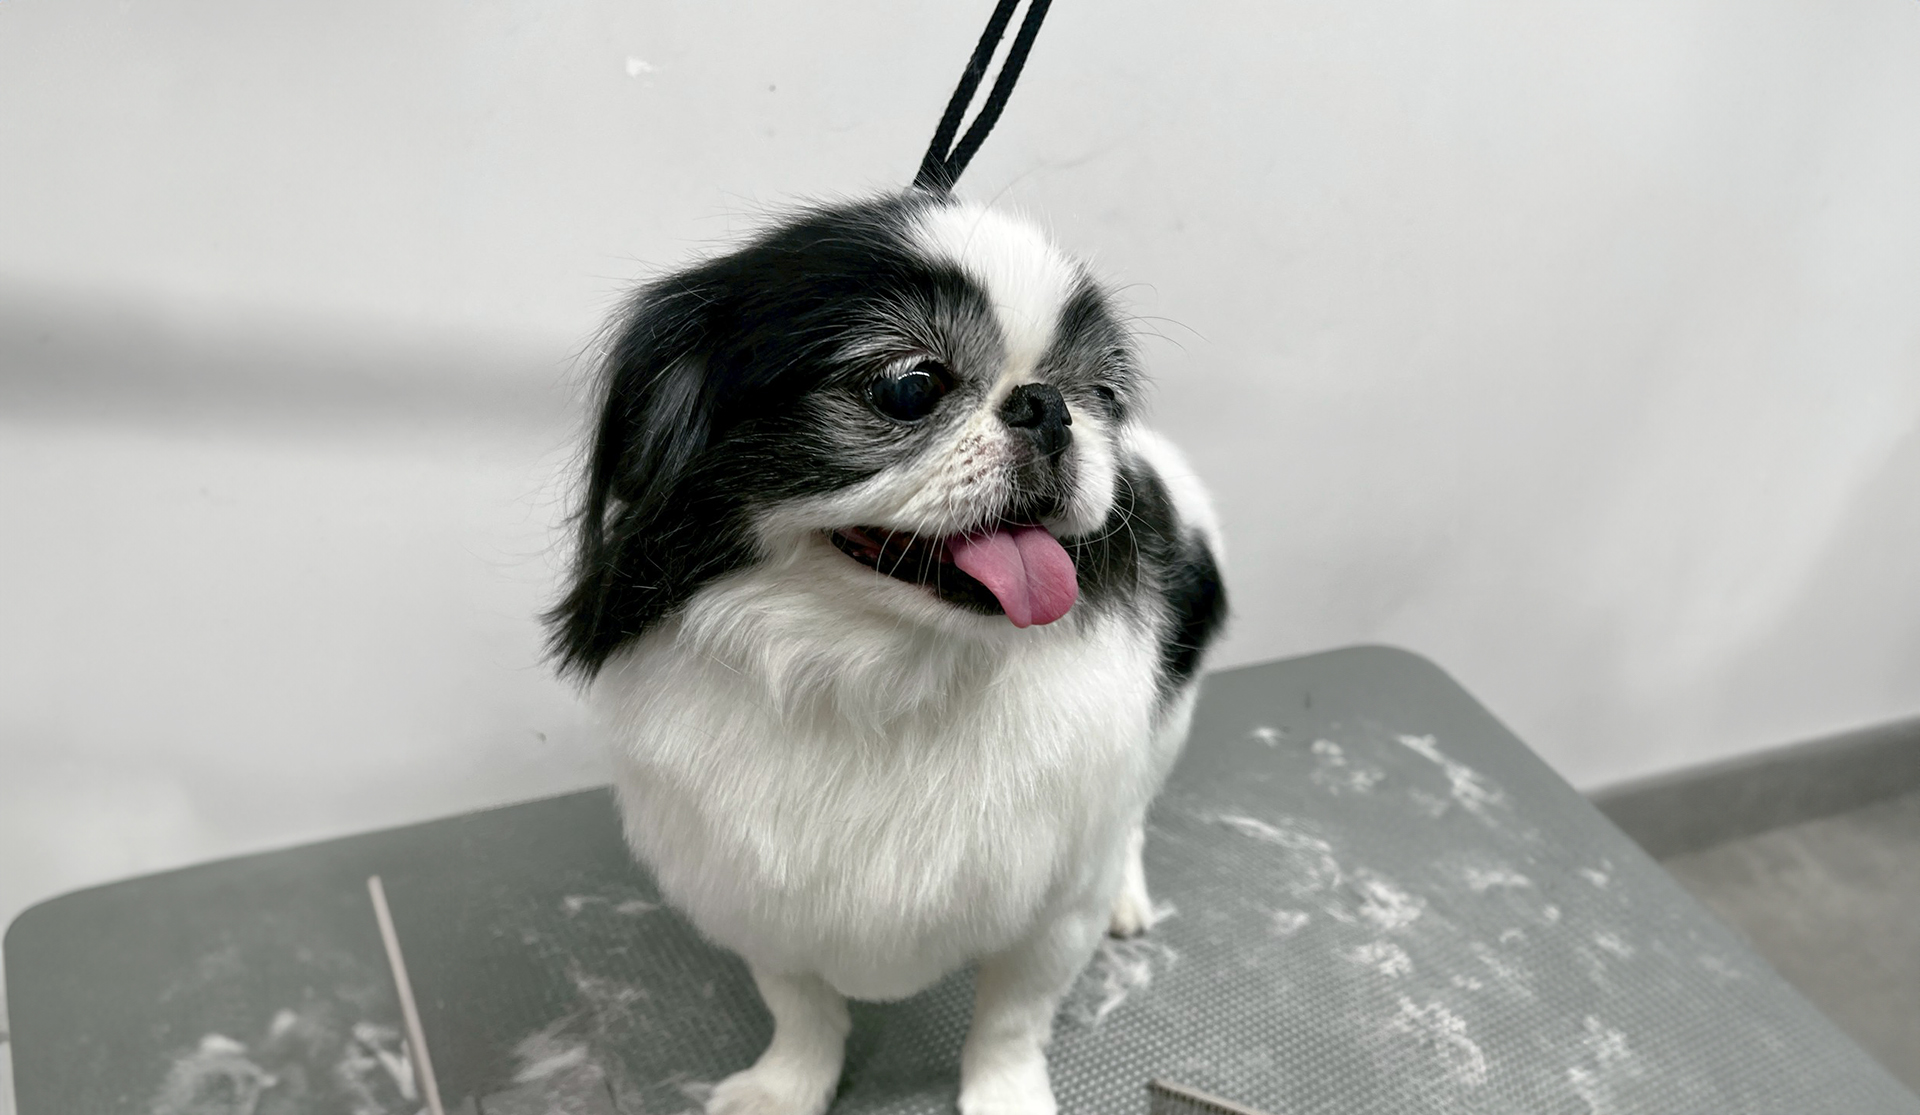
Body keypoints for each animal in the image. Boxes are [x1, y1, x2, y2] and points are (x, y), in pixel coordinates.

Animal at [549, 190, 1226, 1115]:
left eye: (1102, 394)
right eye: (910, 387)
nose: (1050, 404)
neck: (886, 671)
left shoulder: (1054, 902)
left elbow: (1012, 1018)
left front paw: (1007, 1095)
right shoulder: (759, 887)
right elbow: (799, 1005)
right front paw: (786, 1088)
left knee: (1130, 823)